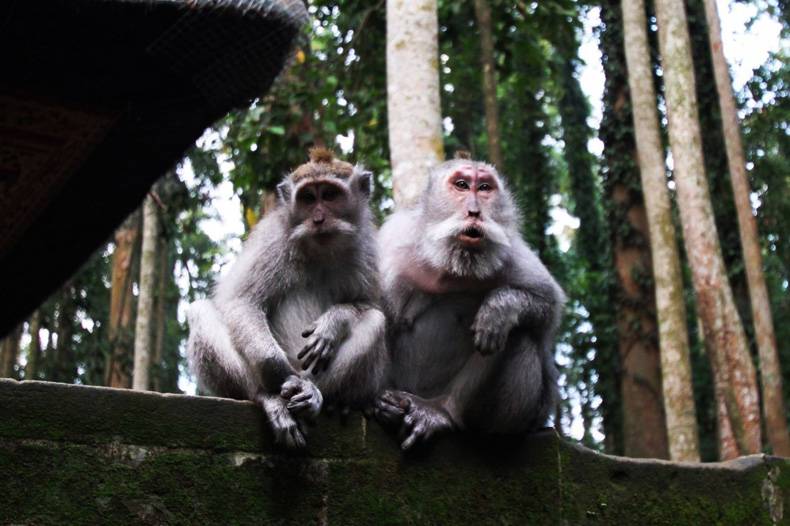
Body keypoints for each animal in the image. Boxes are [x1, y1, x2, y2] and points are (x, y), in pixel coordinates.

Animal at [183, 147, 386, 450]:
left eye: (329, 195)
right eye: (308, 198)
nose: (318, 219)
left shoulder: (367, 248)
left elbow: (367, 305)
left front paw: (333, 323)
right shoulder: (272, 241)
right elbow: (242, 303)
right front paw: (280, 374)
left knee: (375, 321)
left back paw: (315, 395)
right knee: (201, 312)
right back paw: (269, 396)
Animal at [376, 155, 568, 452]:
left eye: (485, 188)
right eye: (462, 185)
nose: (475, 211)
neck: (454, 266)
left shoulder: (513, 252)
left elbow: (547, 305)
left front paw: (500, 309)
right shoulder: (394, 243)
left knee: (518, 334)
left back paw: (442, 412)